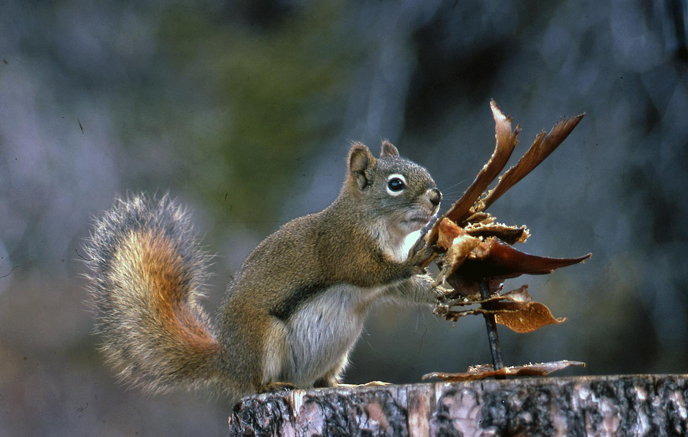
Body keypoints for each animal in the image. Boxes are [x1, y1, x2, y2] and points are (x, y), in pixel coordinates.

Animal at [83, 141, 444, 400]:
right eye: (395, 184)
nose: (437, 197)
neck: (383, 227)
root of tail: (228, 361)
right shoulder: (345, 248)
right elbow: (373, 272)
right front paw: (419, 256)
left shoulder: (389, 277)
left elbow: (406, 287)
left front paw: (443, 292)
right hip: (263, 338)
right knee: (256, 384)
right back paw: (271, 386)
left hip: (337, 352)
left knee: (322, 383)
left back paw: (351, 386)